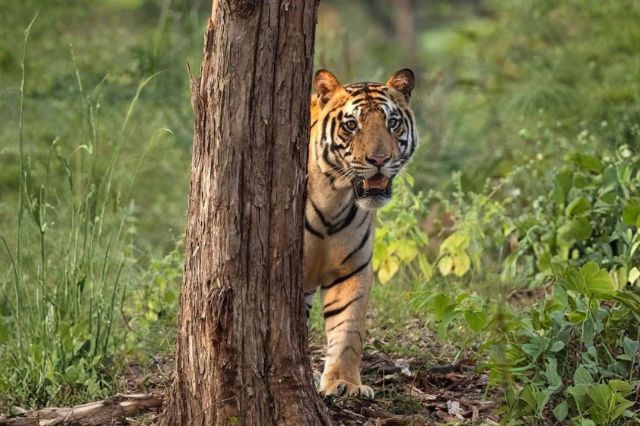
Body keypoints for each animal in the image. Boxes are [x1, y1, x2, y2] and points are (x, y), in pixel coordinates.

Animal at [303, 68, 418, 398]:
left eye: (392, 122)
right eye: (351, 125)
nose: (379, 160)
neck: (334, 198)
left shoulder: (352, 270)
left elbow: (348, 329)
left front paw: (344, 384)